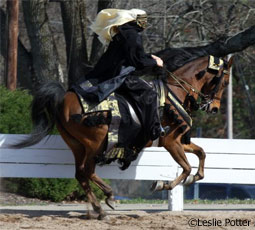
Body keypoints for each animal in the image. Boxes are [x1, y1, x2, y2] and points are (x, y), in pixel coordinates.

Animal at [12, 54, 233, 219]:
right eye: (224, 81)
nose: (214, 108)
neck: (176, 92)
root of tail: (64, 100)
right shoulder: (171, 142)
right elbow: (186, 167)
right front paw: (163, 184)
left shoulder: (178, 141)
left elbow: (201, 153)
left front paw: (195, 177)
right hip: (95, 144)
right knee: (87, 171)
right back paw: (108, 196)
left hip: (77, 146)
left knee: (81, 174)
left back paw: (100, 208)